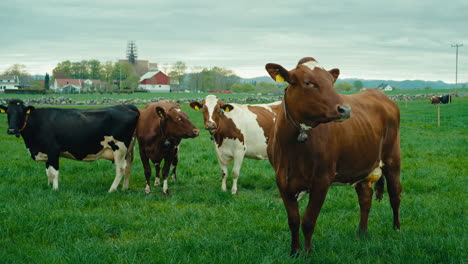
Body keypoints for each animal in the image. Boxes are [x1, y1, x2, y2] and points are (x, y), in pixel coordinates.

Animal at [0, 99, 139, 192]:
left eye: (21, 113)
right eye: (8, 113)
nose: (11, 130)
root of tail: (127, 106)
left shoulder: (53, 150)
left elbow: (54, 172)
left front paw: (55, 189)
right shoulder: (46, 152)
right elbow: (48, 172)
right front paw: (48, 186)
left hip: (119, 148)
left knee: (121, 168)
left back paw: (112, 190)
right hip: (128, 150)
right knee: (128, 166)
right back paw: (124, 188)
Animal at [266, 57, 400, 256]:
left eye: (331, 82)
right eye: (308, 82)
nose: (345, 109)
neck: (294, 149)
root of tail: (379, 94)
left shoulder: (322, 180)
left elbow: (308, 221)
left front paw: (307, 253)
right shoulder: (282, 180)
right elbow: (293, 221)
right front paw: (294, 252)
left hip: (393, 159)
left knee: (395, 195)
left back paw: (397, 228)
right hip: (361, 164)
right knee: (365, 198)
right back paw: (361, 232)